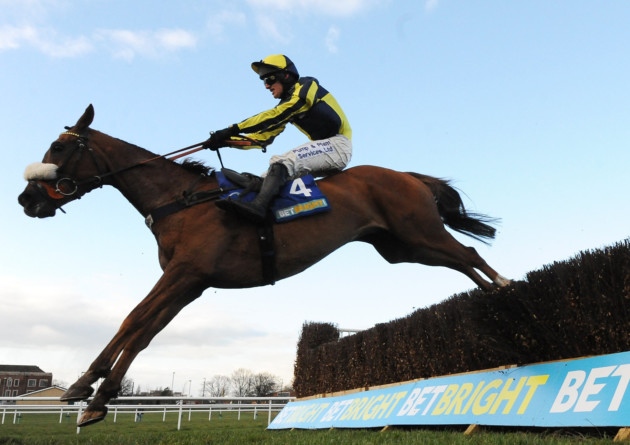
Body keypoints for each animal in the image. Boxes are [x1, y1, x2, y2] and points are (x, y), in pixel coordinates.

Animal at [16, 103, 512, 424]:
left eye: (58, 147)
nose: (26, 199)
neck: (182, 200)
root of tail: (409, 177)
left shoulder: (185, 273)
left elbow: (134, 320)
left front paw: (90, 390)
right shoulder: (189, 282)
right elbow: (143, 330)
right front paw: (93, 391)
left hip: (418, 233)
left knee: (469, 255)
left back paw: (508, 292)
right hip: (402, 248)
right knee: (462, 262)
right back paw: (493, 298)